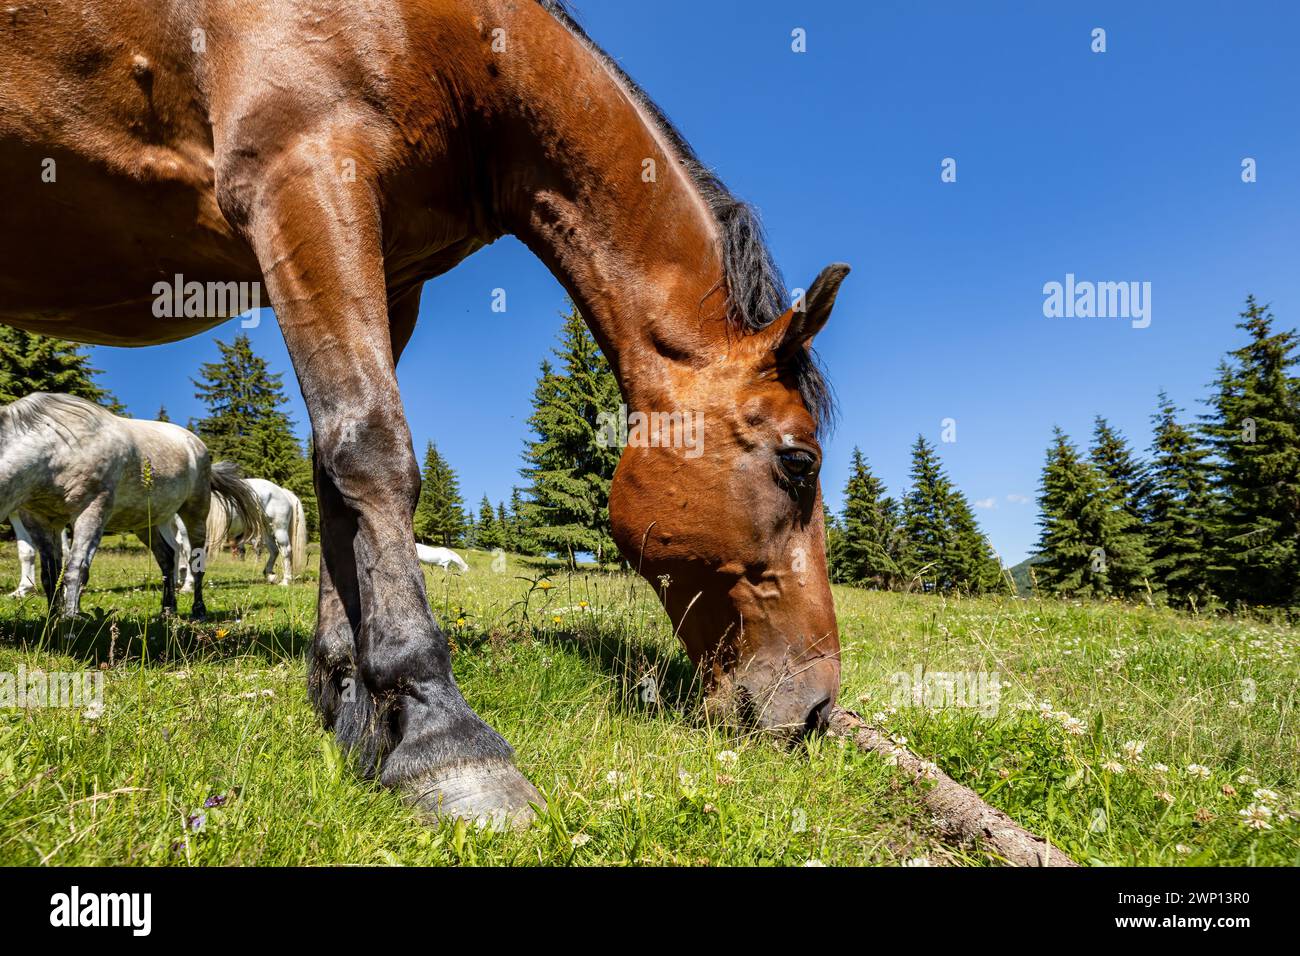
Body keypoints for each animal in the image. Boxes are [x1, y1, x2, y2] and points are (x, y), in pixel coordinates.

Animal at [0, 394, 264, 618]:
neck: (56, 447)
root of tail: (196, 444)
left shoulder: (92, 513)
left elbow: (76, 569)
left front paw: (70, 620)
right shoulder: (39, 521)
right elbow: (50, 574)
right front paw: (52, 620)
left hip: (195, 514)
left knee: (195, 560)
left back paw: (198, 610)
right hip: (146, 524)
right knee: (167, 557)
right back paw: (168, 610)